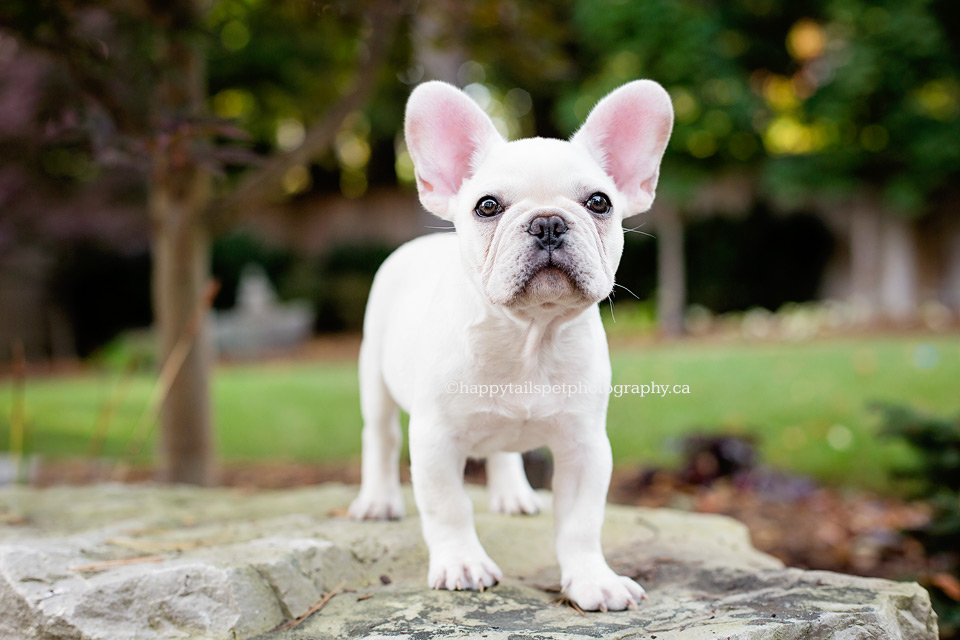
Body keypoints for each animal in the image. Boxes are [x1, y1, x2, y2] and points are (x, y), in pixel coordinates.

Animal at [346, 80, 676, 608]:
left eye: (599, 202)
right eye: (487, 206)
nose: (548, 223)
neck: (529, 339)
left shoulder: (585, 447)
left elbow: (582, 522)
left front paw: (593, 579)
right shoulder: (435, 440)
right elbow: (448, 506)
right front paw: (462, 562)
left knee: (502, 450)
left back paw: (514, 494)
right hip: (373, 374)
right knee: (379, 436)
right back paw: (378, 501)